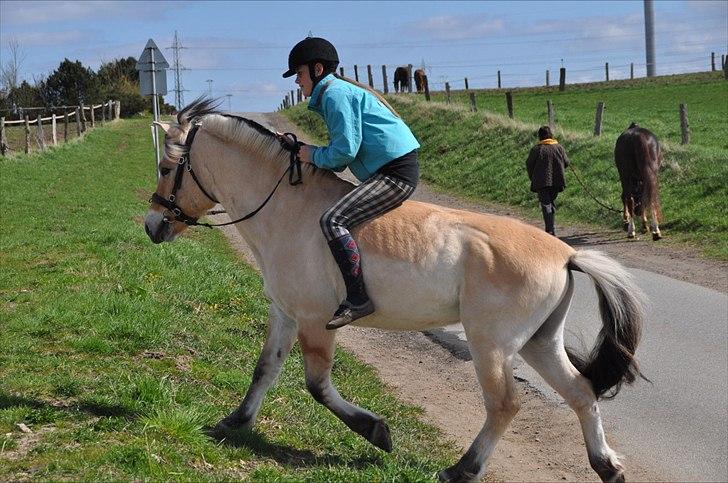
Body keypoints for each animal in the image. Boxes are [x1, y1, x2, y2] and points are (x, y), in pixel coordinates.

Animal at [145, 98, 644, 483]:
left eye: (167, 167)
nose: (152, 226)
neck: (285, 207)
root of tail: (564, 253)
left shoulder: (314, 320)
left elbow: (317, 385)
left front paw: (375, 431)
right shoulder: (284, 313)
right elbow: (264, 370)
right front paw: (235, 421)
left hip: (492, 344)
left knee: (504, 404)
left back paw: (462, 469)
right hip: (540, 341)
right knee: (581, 392)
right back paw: (607, 467)